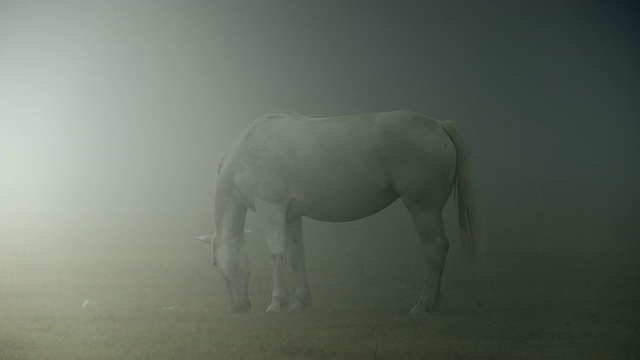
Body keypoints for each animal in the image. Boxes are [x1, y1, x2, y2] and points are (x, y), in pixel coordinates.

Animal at [208, 111, 472, 314]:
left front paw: (276, 302)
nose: (239, 307)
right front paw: (300, 302)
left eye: (217, 266)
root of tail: (438, 125)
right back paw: (433, 302)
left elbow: (276, 254)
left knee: (435, 248)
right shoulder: (291, 215)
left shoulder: (270, 208)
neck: (246, 151)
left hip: (423, 208)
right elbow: (296, 256)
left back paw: (423, 304)